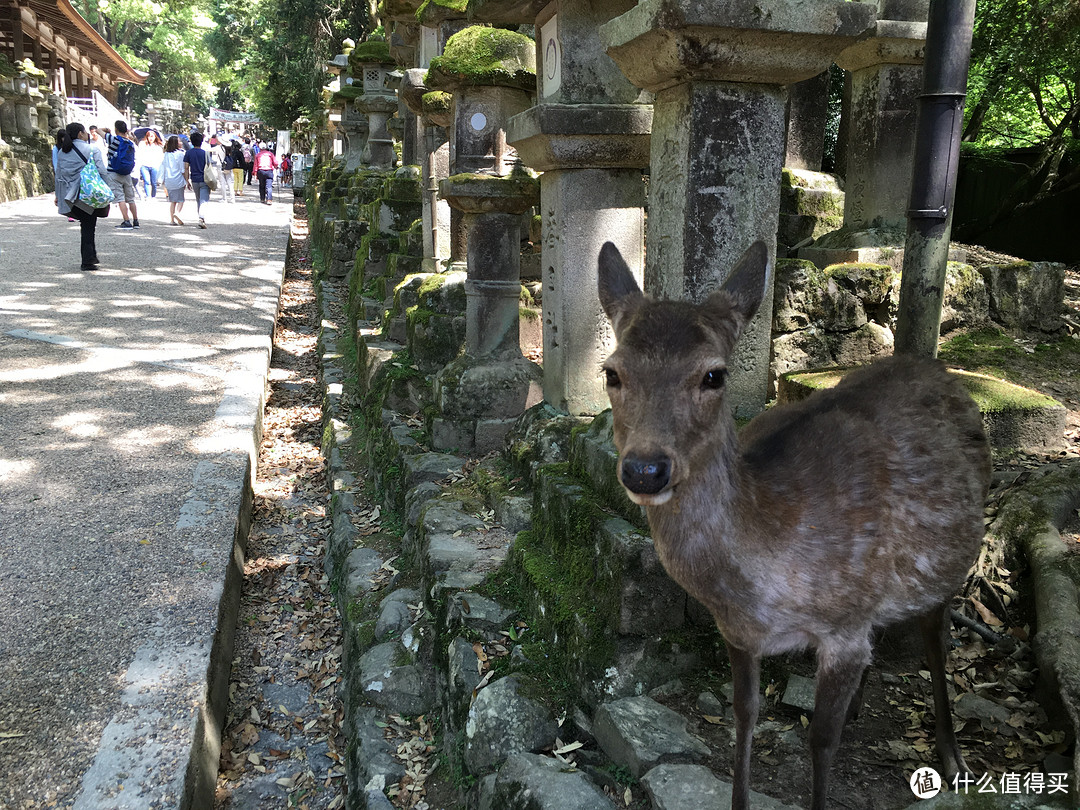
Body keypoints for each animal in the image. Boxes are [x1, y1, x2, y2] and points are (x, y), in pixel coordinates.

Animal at [596, 240, 989, 810]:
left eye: (714, 375)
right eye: (612, 372)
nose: (645, 469)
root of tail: (941, 371)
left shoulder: (843, 627)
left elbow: (819, 739)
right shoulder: (738, 634)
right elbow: (744, 716)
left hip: (947, 563)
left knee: (935, 636)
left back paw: (952, 753)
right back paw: (859, 709)